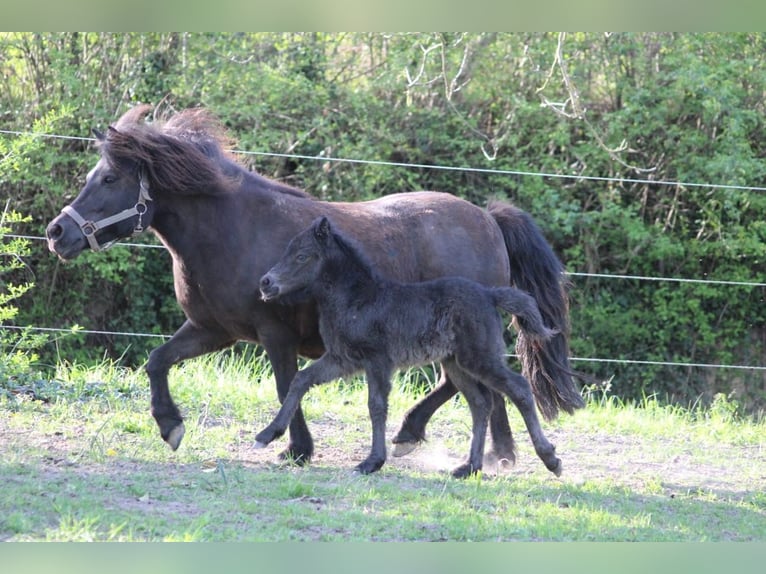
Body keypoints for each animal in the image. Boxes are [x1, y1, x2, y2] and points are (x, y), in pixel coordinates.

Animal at [45, 104, 584, 468]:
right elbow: (157, 361)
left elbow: (288, 384)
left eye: (109, 178)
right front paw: (171, 426)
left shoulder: (273, 334)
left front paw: (295, 447)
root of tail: (489, 219)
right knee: (476, 387)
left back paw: (442, 441)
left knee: (475, 385)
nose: (57, 233)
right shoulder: (212, 329)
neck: (232, 228)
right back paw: (492, 452)